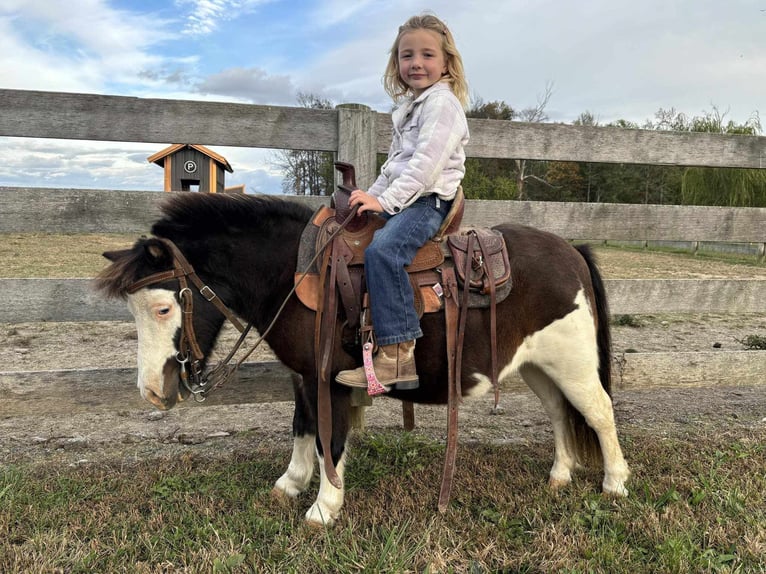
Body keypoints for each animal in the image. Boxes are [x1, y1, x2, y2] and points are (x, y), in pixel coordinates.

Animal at [97, 194, 632, 528]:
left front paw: (324, 507)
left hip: (573, 364)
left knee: (599, 413)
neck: (294, 273)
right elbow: (302, 428)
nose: (153, 391)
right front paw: (290, 485)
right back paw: (560, 475)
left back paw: (615, 484)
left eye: (162, 308)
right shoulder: (303, 379)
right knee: (560, 413)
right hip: (538, 367)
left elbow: (328, 439)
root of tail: (572, 252)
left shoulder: (329, 380)